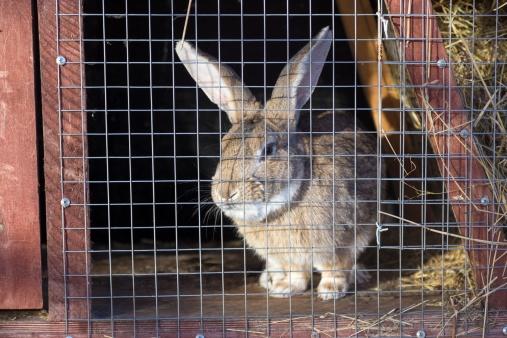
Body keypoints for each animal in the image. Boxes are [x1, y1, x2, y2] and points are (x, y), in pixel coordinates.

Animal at [177, 27, 380, 302]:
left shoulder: (339, 241)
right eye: (223, 146)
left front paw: (330, 292)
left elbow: (335, 266)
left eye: (268, 150)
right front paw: (284, 290)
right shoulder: (288, 256)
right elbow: (296, 273)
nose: (226, 194)